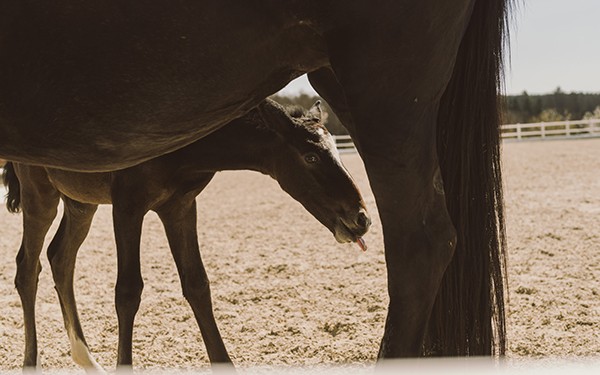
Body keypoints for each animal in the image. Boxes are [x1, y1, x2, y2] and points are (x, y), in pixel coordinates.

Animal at [3, 100, 370, 374]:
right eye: (310, 157)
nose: (362, 218)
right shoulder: (127, 206)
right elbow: (128, 291)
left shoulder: (180, 207)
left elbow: (197, 285)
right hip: (41, 196)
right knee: (27, 268)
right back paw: (32, 363)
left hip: (81, 204)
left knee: (60, 257)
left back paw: (87, 360)